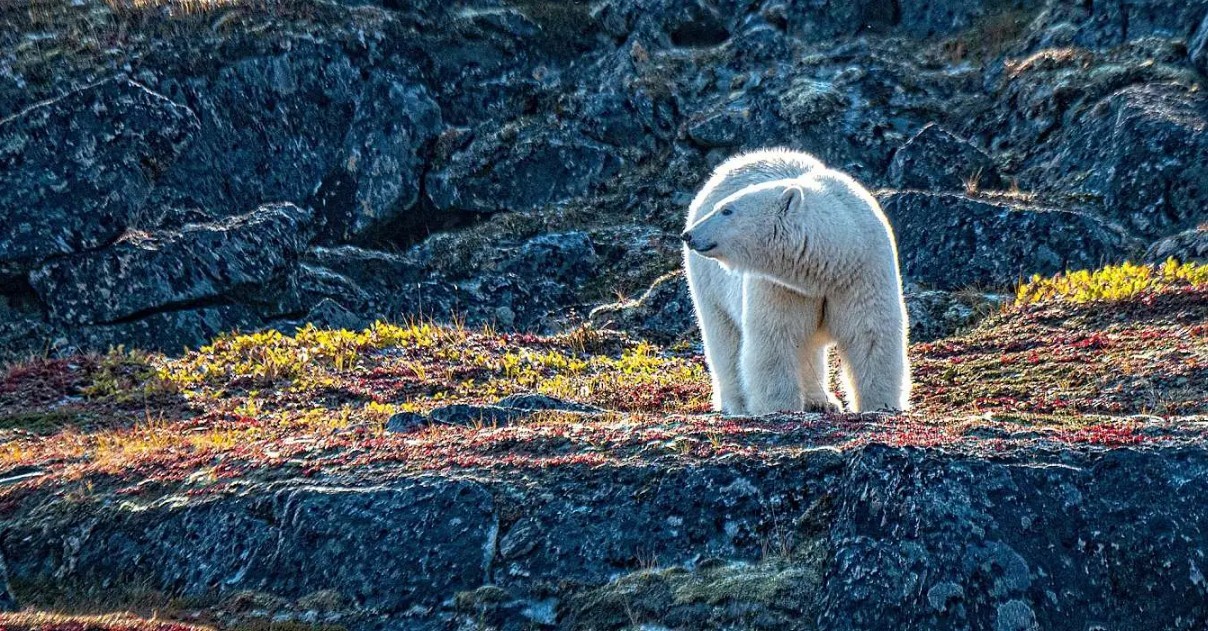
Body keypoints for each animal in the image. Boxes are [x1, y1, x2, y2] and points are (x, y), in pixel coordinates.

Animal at [686, 147, 908, 413]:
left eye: (727, 210)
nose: (689, 235)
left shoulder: (863, 273)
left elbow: (870, 335)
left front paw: (880, 405)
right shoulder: (781, 286)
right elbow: (776, 337)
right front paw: (778, 407)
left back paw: (821, 401)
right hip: (708, 285)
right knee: (723, 340)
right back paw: (738, 404)